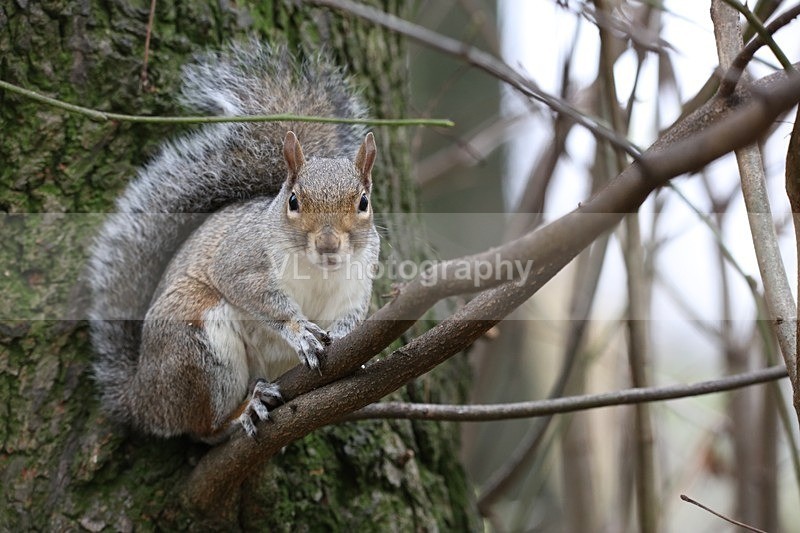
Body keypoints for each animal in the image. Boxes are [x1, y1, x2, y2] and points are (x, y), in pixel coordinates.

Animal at [88, 41, 380, 444]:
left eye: (363, 202)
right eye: (294, 201)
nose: (328, 244)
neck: (317, 270)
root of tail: (144, 399)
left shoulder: (358, 281)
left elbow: (351, 316)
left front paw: (349, 345)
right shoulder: (242, 258)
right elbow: (254, 293)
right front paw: (300, 332)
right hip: (198, 345)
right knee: (206, 430)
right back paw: (246, 409)